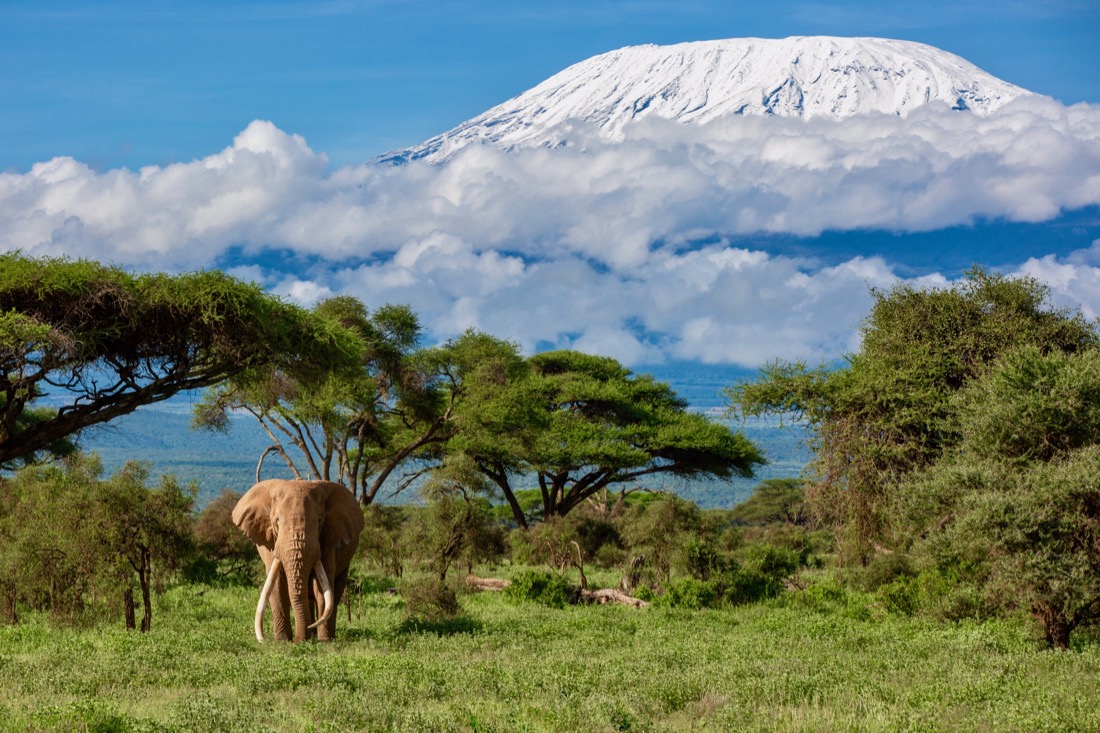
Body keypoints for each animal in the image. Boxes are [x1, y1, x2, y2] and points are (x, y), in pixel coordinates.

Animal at [233, 477, 365, 638]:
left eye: (320, 521)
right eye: (277, 521)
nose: (299, 640)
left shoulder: (328, 540)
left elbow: (322, 585)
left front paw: (323, 640)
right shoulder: (271, 542)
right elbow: (277, 584)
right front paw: (282, 640)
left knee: (335, 588)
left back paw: (323, 635)